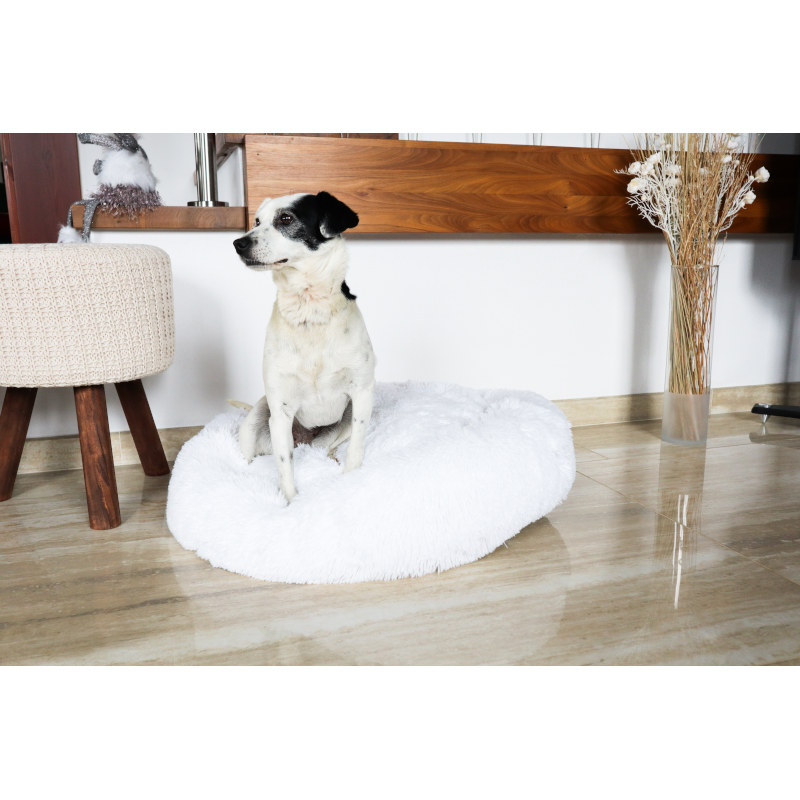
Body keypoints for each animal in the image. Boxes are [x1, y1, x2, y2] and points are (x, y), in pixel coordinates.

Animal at [233, 191, 376, 503]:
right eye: (257, 221)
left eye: (286, 219)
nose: (238, 243)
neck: (309, 312)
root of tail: (305, 441)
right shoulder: (280, 410)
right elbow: (284, 467)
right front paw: (290, 502)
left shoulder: (361, 393)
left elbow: (356, 451)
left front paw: (352, 481)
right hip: (257, 420)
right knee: (249, 457)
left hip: (343, 423)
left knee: (329, 449)